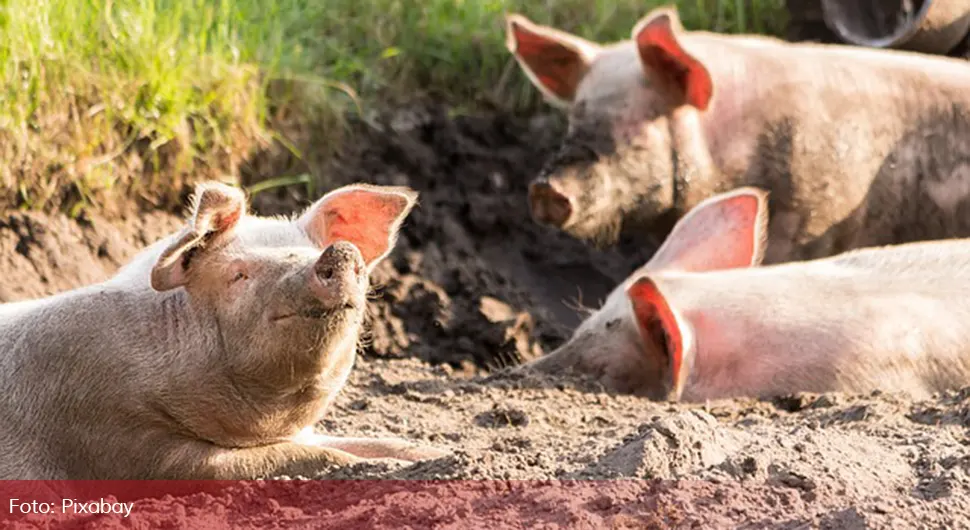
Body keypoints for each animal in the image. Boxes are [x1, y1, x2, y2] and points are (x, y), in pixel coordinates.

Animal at [0, 180, 446, 478]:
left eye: (309, 251)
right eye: (239, 274)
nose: (339, 251)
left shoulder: (307, 433)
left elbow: (380, 442)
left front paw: (435, 455)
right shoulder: (122, 440)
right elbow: (301, 458)